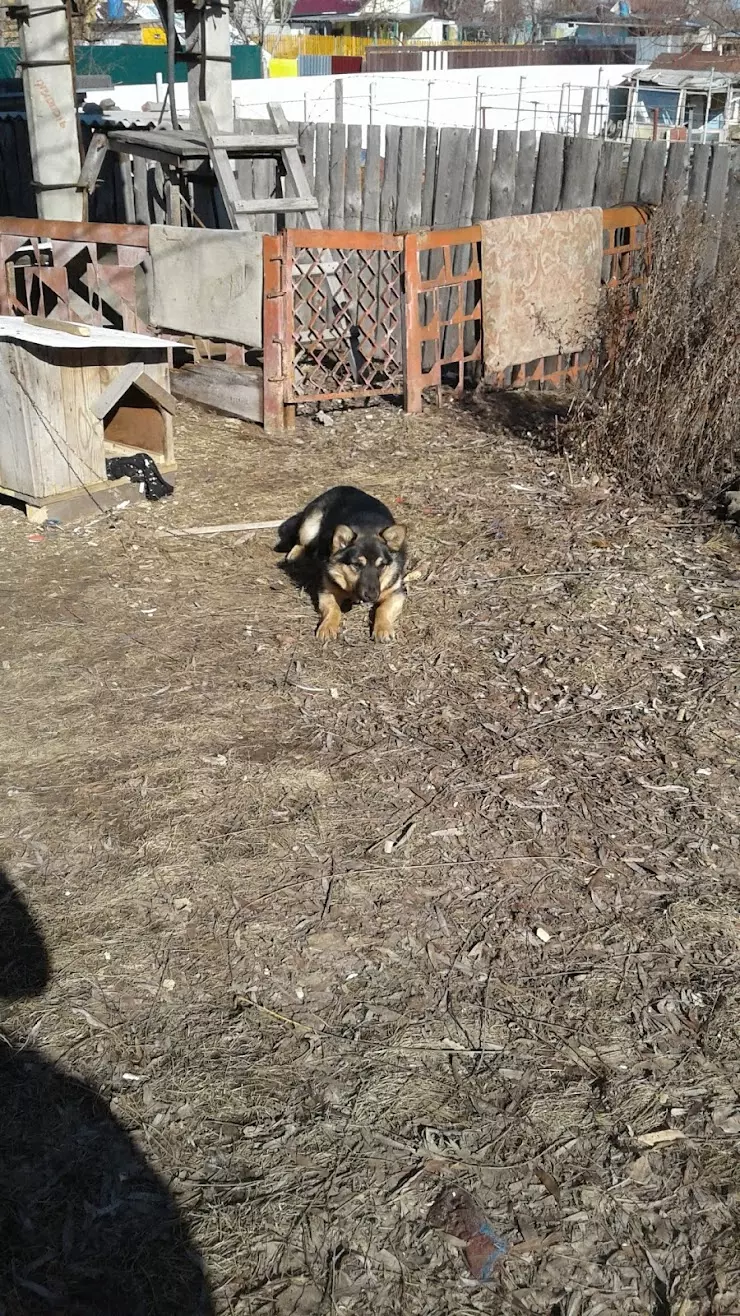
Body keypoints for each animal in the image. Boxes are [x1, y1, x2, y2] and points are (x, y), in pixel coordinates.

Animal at [276, 489, 405, 642]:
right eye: (356, 565)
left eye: (381, 566)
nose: (372, 596)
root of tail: (341, 487)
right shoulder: (326, 591)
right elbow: (333, 608)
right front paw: (327, 627)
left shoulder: (397, 593)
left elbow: (383, 608)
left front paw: (383, 628)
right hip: (309, 526)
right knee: (301, 541)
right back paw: (295, 554)